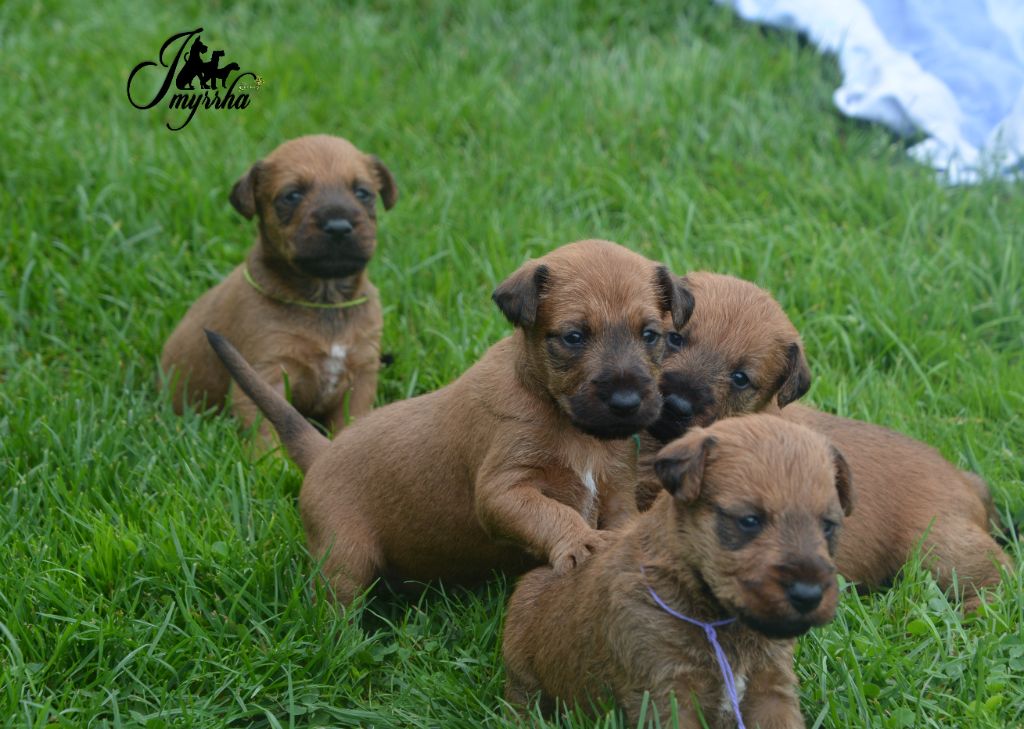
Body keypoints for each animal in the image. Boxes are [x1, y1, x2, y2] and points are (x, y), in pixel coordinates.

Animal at [161, 134, 397, 446]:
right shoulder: (266, 376)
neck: (325, 299)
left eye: (362, 192)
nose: (338, 227)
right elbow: (268, 436)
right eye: (292, 195)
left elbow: (351, 422)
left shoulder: (360, 377)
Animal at [204, 239, 692, 602]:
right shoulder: (503, 490)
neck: (561, 416)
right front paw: (580, 542)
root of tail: (323, 451)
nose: (627, 401)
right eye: (573, 337)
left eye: (651, 335)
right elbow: (550, 511)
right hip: (345, 554)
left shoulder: (616, 494)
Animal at [501, 413, 847, 724]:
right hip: (521, 672)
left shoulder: (771, 689)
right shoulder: (667, 691)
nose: (809, 595)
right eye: (749, 520)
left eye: (828, 526)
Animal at [643, 268, 1011, 610]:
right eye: (675, 338)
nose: (676, 404)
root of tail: (966, 482)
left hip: (938, 547)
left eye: (740, 378)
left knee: (1001, 575)